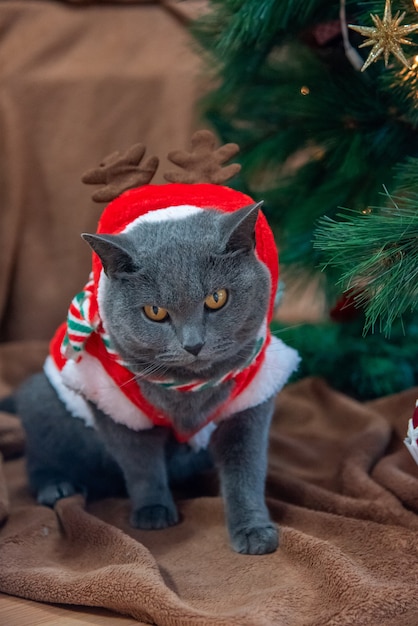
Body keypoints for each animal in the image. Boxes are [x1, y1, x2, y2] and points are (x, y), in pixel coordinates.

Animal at [16, 205, 298, 556]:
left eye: (217, 298)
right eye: (155, 311)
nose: (194, 344)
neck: (188, 389)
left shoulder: (248, 402)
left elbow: (246, 468)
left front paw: (254, 530)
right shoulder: (118, 409)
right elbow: (141, 464)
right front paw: (153, 511)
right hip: (46, 405)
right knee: (37, 456)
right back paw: (56, 486)